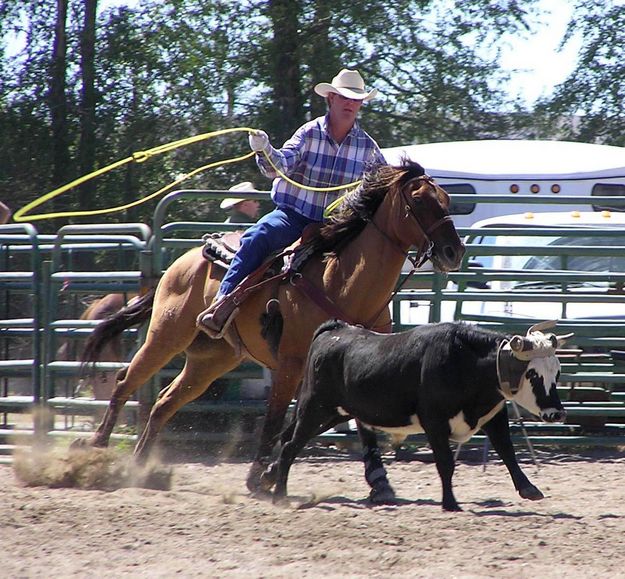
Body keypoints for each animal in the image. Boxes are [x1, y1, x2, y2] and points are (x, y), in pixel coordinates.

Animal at [78, 161, 464, 500]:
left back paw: (142, 468)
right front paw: (259, 478)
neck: (343, 282)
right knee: (126, 381)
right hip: (167, 335)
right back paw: (96, 453)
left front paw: (378, 481)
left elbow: (350, 425)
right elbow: (276, 420)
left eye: (446, 199)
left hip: (211, 360)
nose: (454, 251)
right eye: (419, 200)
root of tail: (183, 259)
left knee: (163, 402)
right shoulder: (290, 366)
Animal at [266, 322, 568, 512]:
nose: (556, 413)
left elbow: (507, 452)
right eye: (532, 374)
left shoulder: (493, 415)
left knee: (287, 440)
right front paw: (450, 502)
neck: (465, 362)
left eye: (557, 372)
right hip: (315, 407)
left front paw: (529, 489)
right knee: (290, 446)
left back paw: (270, 477)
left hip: (331, 414)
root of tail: (334, 330)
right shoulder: (434, 422)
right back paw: (280, 496)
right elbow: (446, 463)